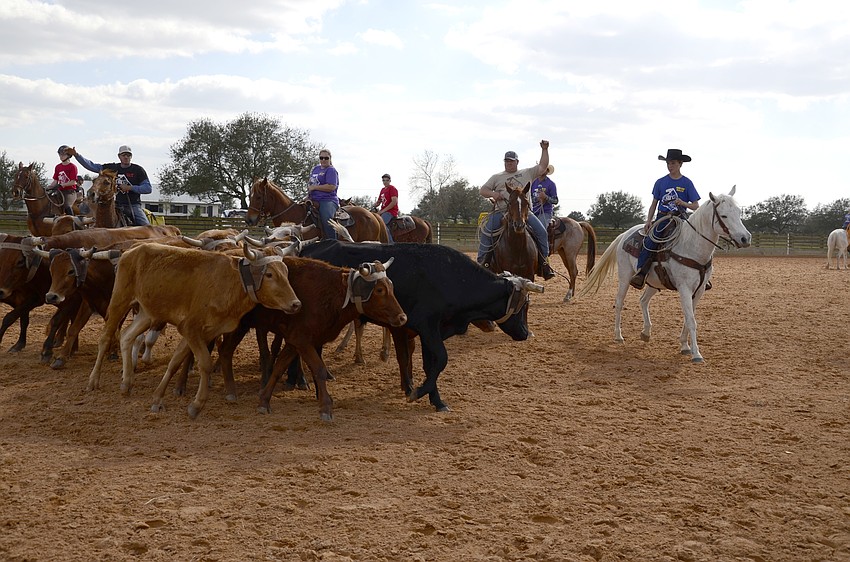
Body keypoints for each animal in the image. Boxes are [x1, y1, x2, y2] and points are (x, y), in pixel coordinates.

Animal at [87, 242, 302, 419]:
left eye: (286, 272)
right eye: (269, 274)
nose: (296, 304)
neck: (232, 282)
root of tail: (131, 251)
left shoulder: (206, 332)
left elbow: (175, 362)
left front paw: (158, 399)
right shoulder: (190, 328)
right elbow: (205, 364)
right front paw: (196, 405)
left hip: (147, 313)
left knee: (126, 336)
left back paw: (126, 383)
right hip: (120, 300)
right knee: (105, 338)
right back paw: (93, 381)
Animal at [211, 255, 407, 421]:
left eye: (391, 287)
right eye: (379, 289)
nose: (402, 317)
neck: (330, 293)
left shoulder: (294, 341)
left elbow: (279, 367)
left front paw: (264, 401)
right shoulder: (303, 341)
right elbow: (319, 369)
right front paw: (325, 407)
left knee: (225, 351)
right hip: (237, 326)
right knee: (225, 351)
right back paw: (229, 390)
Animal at [296, 240, 543, 411]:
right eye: (523, 305)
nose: (525, 333)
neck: (452, 278)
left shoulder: (429, 333)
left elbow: (428, 364)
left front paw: (434, 399)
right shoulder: (427, 327)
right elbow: (441, 359)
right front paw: (419, 393)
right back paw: (301, 381)